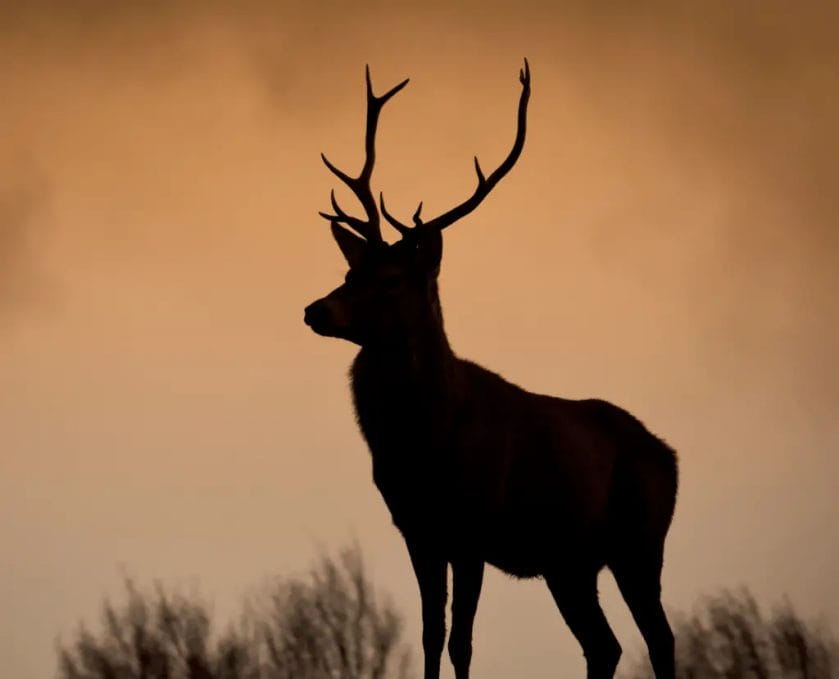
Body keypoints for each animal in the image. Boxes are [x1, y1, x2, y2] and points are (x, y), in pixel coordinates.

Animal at [303, 60, 678, 679]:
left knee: (659, 638)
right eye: (349, 271)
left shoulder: (471, 527)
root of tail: (670, 455)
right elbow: (430, 635)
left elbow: (462, 642)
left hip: (640, 543)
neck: (424, 443)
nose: (315, 309)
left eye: (393, 280)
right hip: (569, 563)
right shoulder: (417, 528)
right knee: (605, 644)